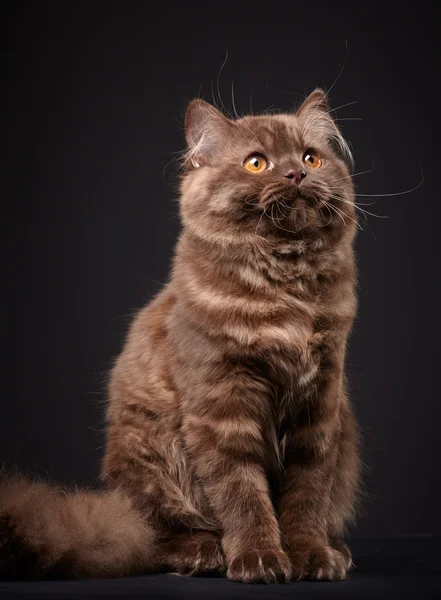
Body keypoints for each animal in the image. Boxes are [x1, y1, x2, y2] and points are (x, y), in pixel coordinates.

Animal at [0, 89, 360, 580]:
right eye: (256, 163)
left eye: (311, 157)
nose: (296, 173)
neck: (286, 291)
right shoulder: (221, 404)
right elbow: (243, 494)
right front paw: (260, 558)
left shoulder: (320, 405)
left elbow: (307, 495)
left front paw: (310, 556)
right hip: (149, 454)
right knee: (151, 536)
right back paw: (204, 553)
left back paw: (337, 548)